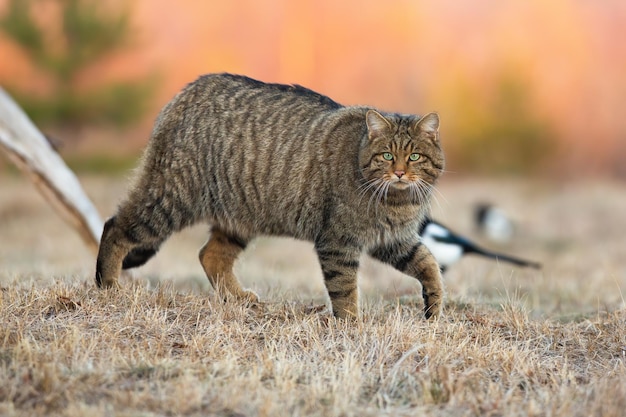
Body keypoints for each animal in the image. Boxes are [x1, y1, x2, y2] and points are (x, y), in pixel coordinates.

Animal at [95, 73, 444, 318]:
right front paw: (351, 326)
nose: (399, 173)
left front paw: (435, 308)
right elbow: (345, 290)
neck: (396, 202)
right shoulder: (338, 242)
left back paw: (237, 298)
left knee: (210, 255)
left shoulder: (395, 241)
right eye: (387, 156)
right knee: (115, 226)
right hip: (170, 199)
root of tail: (188, 89)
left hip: (238, 216)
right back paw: (107, 285)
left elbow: (429, 264)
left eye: (414, 157)